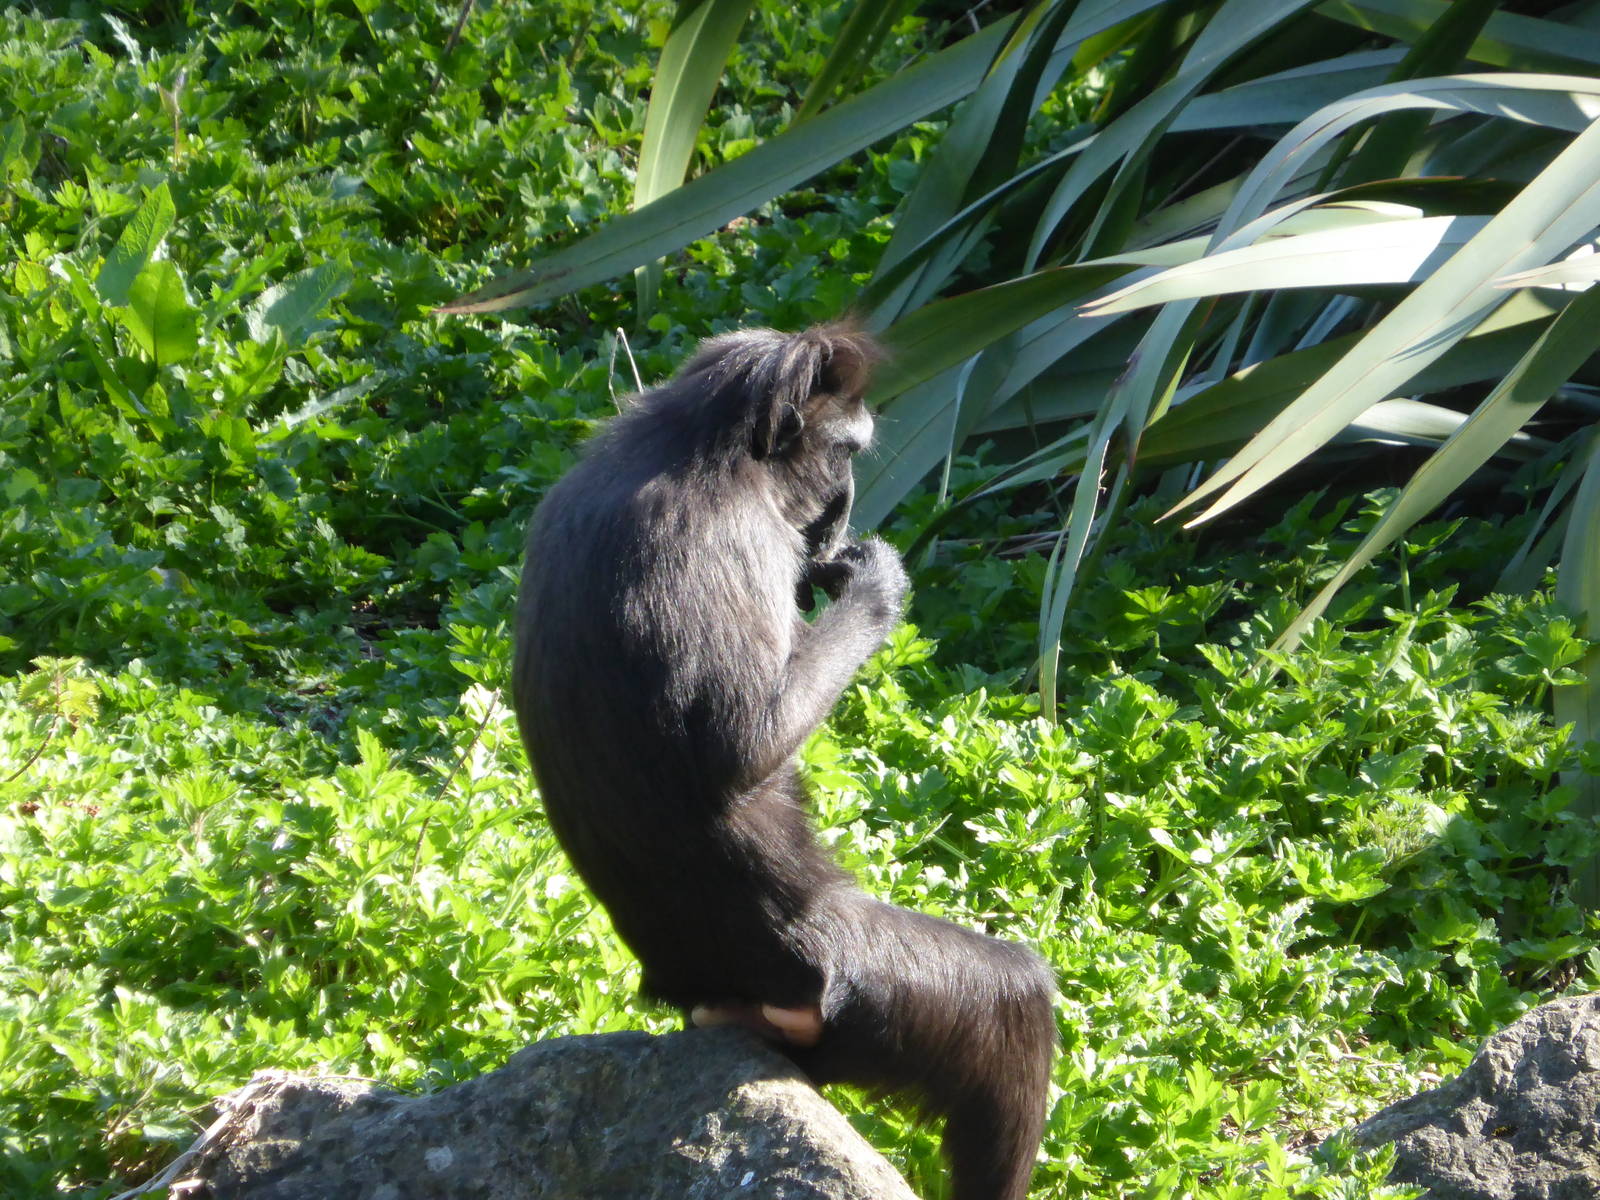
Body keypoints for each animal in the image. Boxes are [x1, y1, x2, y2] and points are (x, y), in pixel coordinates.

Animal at [511, 323, 1056, 1200]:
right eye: (850, 453)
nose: (848, 509)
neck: (690, 447)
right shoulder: (731, 532)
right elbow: (742, 747)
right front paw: (875, 586)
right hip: (853, 984)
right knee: (1014, 1003)